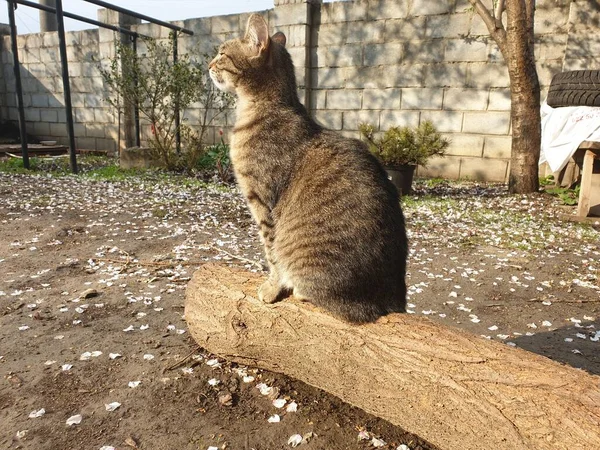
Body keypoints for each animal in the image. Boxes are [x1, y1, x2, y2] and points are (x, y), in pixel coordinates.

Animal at [207, 14, 408, 324]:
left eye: (222, 54)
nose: (208, 65)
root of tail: (392, 297)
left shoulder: (263, 203)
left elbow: (271, 253)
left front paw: (271, 287)